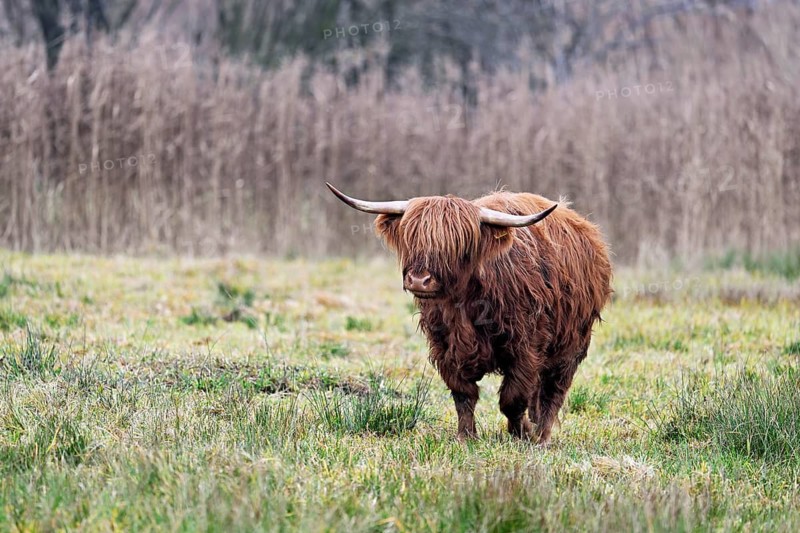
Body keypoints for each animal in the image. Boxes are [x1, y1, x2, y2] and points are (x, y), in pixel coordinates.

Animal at [326, 182, 612, 444]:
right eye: (412, 237)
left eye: (456, 244)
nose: (419, 280)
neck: (464, 305)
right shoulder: (444, 346)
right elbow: (464, 394)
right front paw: (466, 436)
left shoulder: (526, 346)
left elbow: (513, 397)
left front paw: (522, 434)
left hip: (571, 345)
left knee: (553, 391)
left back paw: (542, 436)